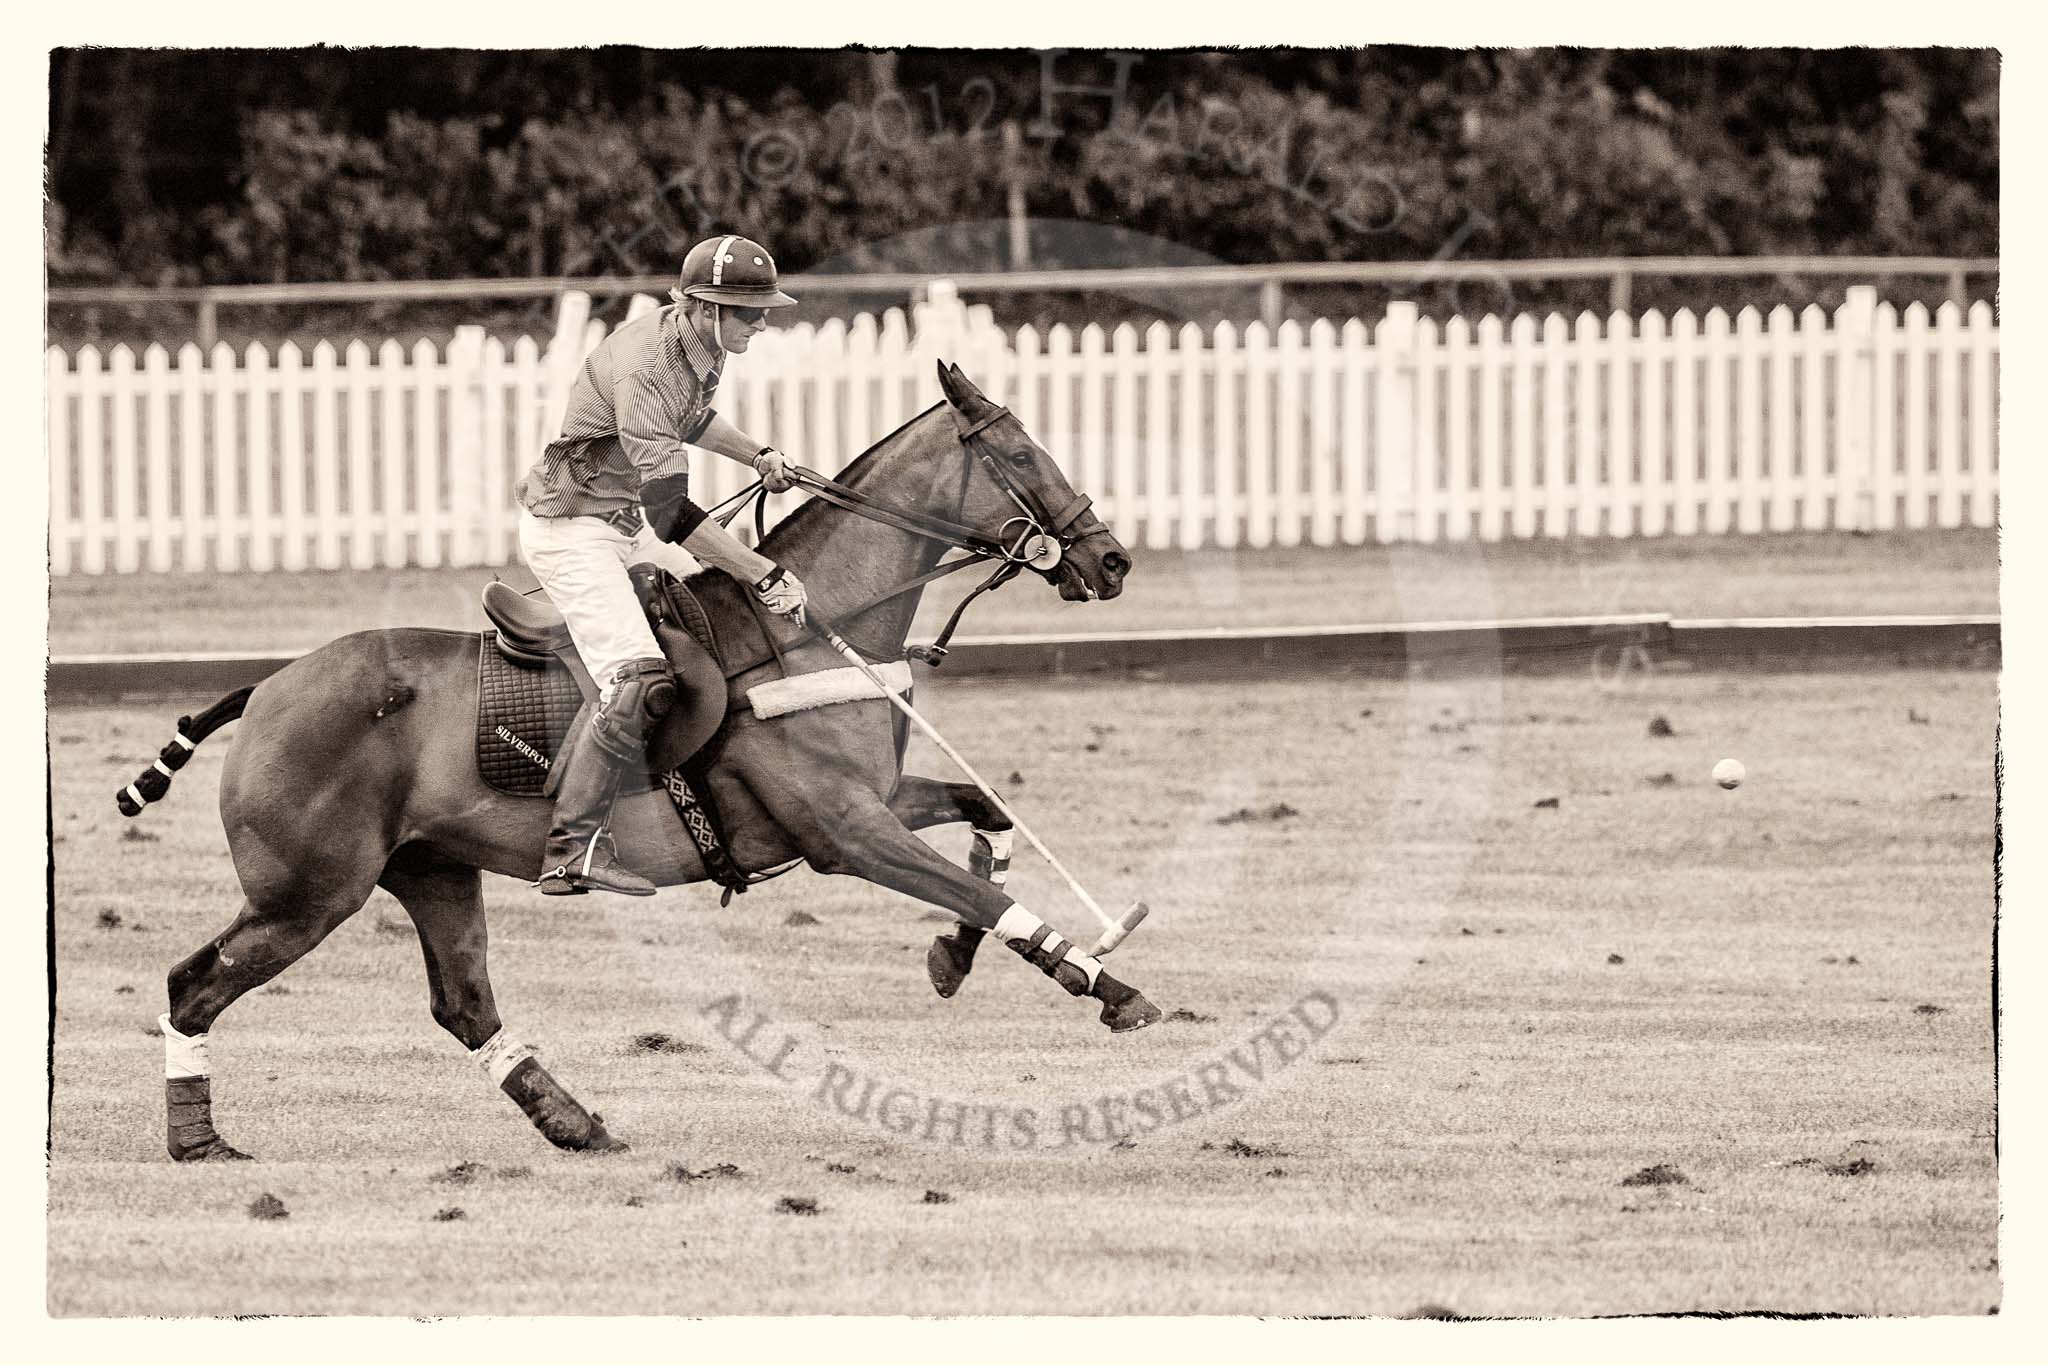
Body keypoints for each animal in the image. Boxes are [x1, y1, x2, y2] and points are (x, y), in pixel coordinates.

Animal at [123, 362, 1155, 1162]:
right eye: (1018, 454)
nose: (1111, 563)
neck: (806, 633)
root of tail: (263, 687)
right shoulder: (844, 831)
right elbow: (971, 881)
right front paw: (1110, 983)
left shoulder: (877, 799)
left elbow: (986, 816)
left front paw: (958, 958)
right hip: (309, 891)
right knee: (192, 983)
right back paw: (198, 1139)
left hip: (431, 869)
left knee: (465, 1003)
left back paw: (576, 1123)